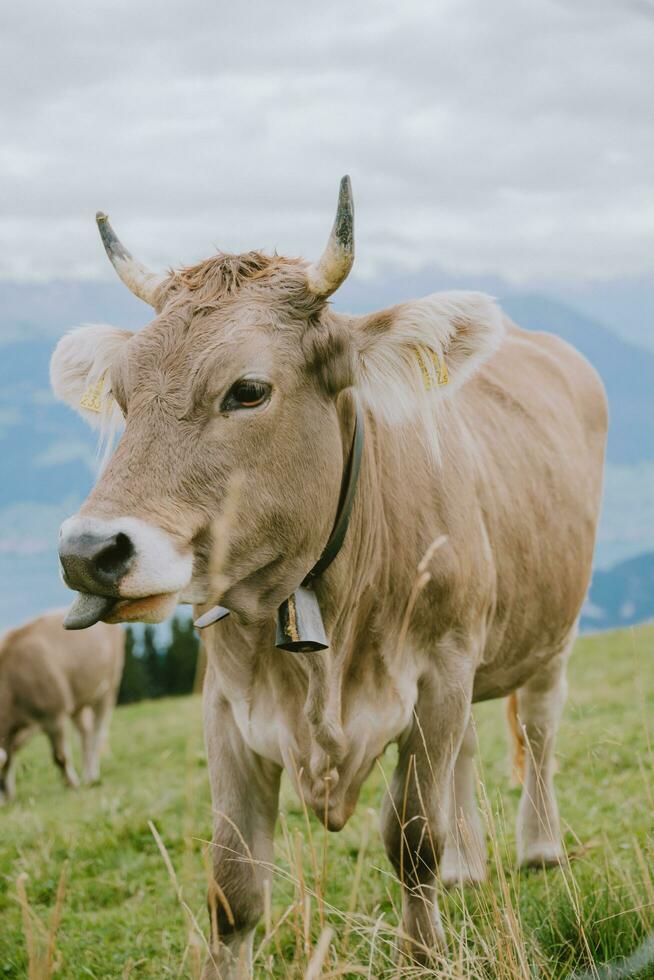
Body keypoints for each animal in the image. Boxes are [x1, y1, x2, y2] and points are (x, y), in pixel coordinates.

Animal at [0, 608, 124, 800]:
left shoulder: (54, 714)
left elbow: (59, 756)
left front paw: (71, 784)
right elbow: (9, 757)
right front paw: (9, 795)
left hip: (109, 687)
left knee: (98, 732)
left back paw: (92, 775)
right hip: (78, 702)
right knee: (85, 733)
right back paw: (88, 776)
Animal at [48, 178, 608, 972]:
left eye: (249, 390)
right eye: (124, 397)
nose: (87, 551)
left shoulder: (438, 673)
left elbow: (413, 839)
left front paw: (423, 956)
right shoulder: (225, 706)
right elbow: (232, 887)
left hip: (552, 631)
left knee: (540, 726)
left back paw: (540, 847)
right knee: (471, 746)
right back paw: (469, 863)